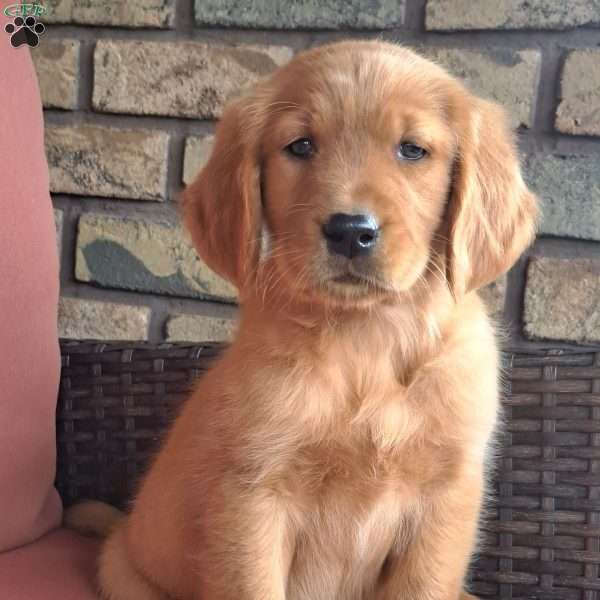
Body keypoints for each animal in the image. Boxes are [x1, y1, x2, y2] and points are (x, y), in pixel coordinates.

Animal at [85, 39, 540, 596]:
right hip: (123, 572)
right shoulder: (252, 496)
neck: (367, 337)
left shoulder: (446, 497)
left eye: (412, 150)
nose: (350, 231)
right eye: (300, 146)